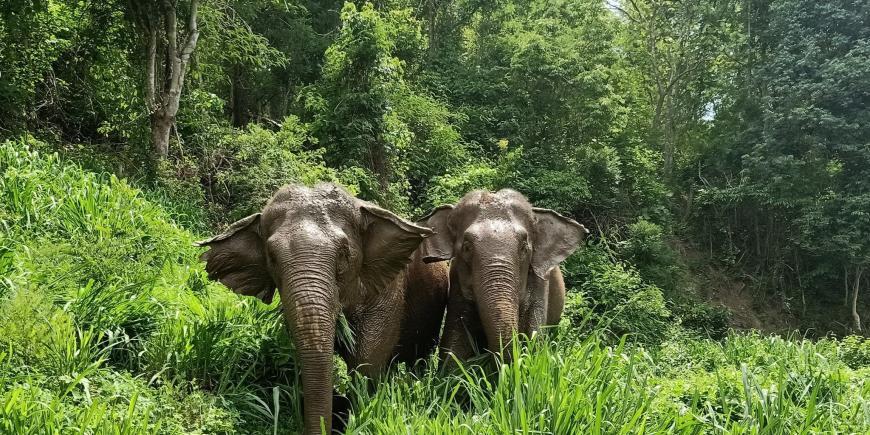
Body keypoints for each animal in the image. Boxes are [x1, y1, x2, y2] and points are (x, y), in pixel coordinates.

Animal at [418, 189, 588, 362]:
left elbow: (534, 339)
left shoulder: (540, 284)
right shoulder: (457, 282)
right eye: (466, 247)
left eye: (524, 247)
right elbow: (455, 342)